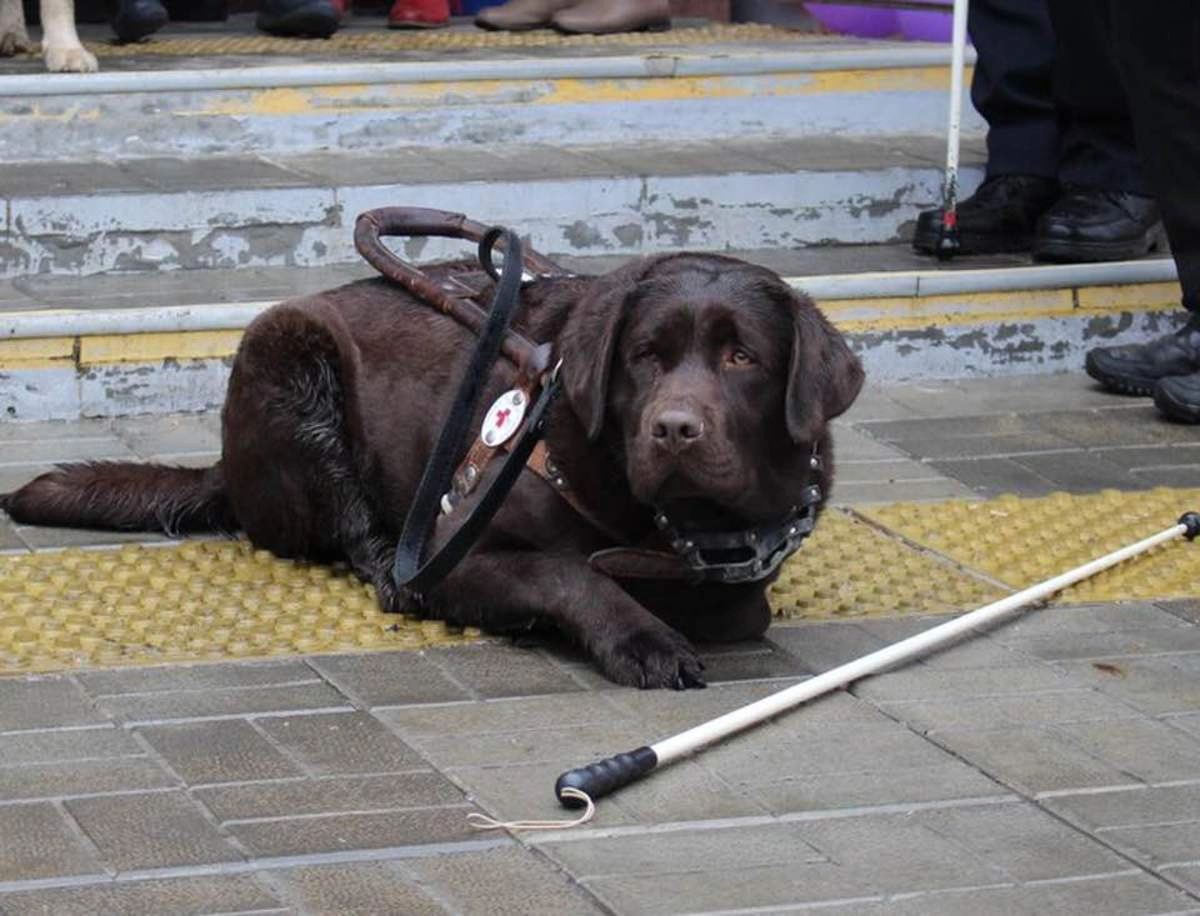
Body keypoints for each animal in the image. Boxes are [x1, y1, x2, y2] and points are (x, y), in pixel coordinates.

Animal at [1, 251, 864, 688]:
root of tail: (223, 465)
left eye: (742, 357)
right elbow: (571, 572)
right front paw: (639, 634)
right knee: (359, 539)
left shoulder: (749, 564)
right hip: (292, 360)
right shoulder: (458, 553)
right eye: (645, 356)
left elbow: (733, 605)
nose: (675, 428)